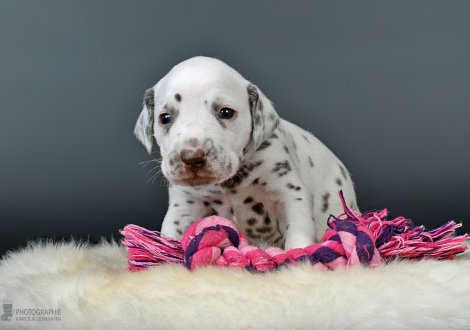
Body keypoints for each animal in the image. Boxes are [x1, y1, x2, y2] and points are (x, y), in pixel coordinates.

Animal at [134, 56, 358, 248]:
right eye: (165, 118)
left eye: (226, 112)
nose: (192, 157)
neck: (229, 184)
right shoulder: (183, 208)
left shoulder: (289, 196)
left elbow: (298, 236)